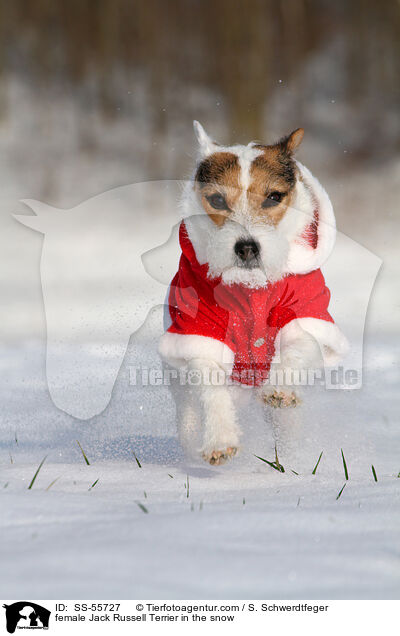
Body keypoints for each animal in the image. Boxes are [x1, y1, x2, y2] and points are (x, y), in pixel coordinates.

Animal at [158, 121, 348, 464]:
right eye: (217, 201)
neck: (251, 286)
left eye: (274, 196)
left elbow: (297, 349)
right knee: (188, 412)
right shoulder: (201, 329)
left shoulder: (306, 314)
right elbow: (210, 386)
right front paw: (219, 439)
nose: (246, 247)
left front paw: (280, 389)